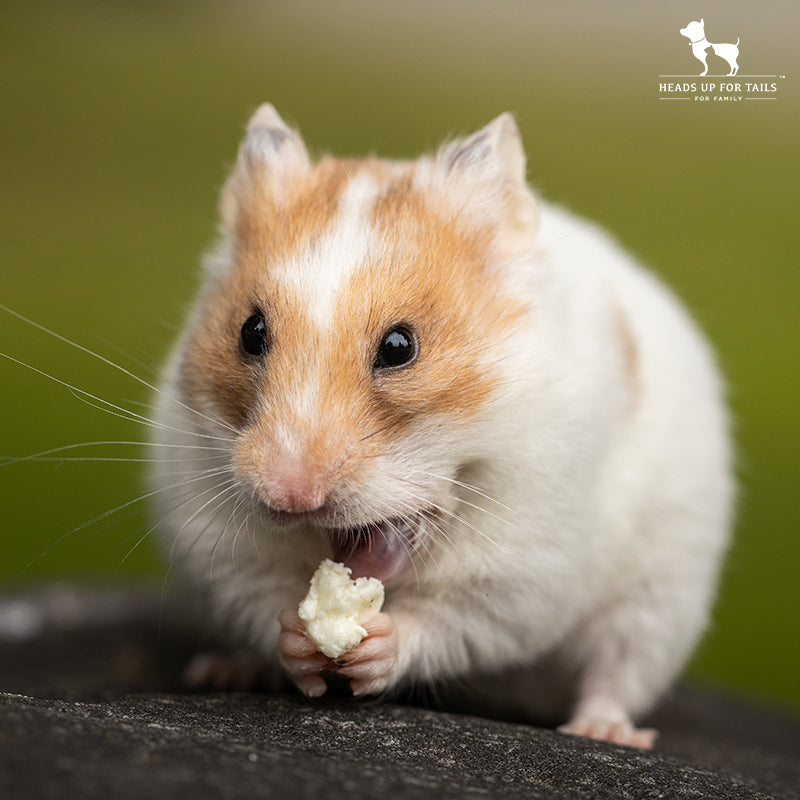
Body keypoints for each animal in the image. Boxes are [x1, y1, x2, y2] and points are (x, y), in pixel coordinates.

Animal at [151, 104, 732, 748]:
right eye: (249, 332)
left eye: (400, 347)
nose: (289, 497)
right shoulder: (221, 545)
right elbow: (266, 602)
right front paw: (301, 641)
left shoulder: (521, 572)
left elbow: (447, 623)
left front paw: (373, 644)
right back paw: (223, 670)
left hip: (660, 597)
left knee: (618, 668)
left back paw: (604, 731)